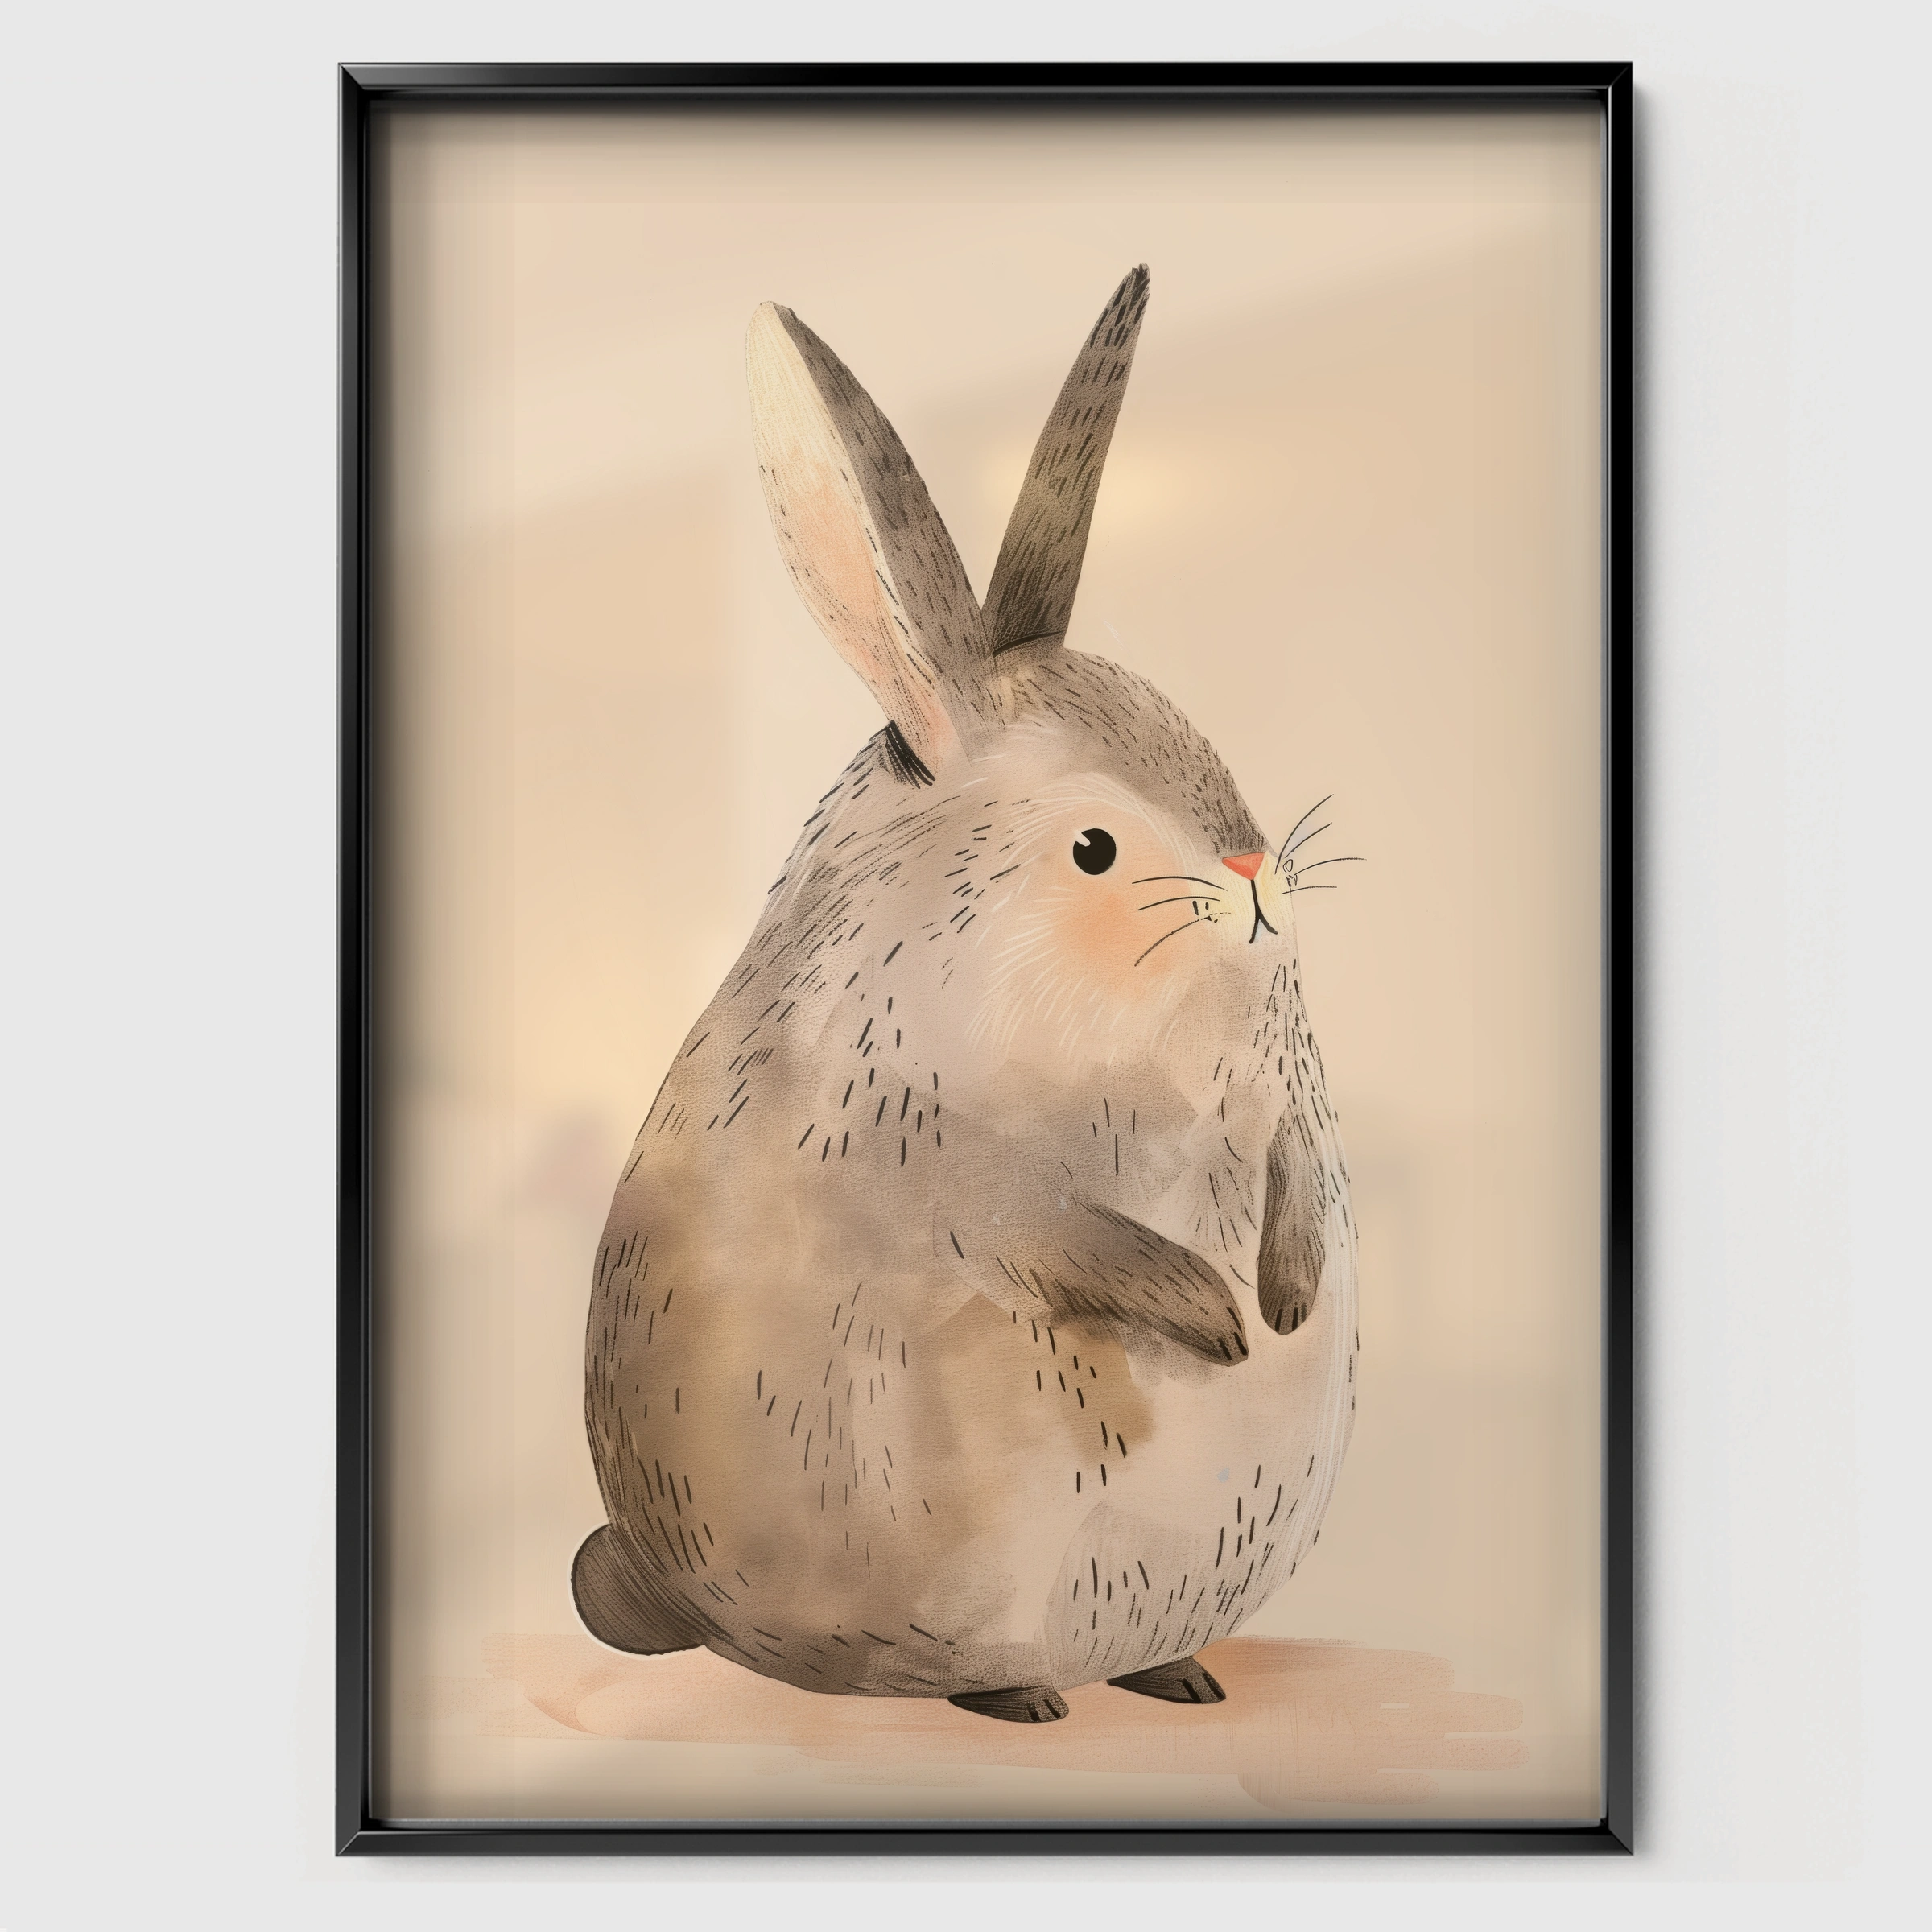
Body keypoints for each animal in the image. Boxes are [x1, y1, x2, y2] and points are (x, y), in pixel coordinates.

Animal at [574, 267, 1357, 1723]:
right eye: (1094, 847)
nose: (1255, 878)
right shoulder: (960, 1174)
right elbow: (1062, 1235)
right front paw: (1220, 1322)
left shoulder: (1283, 1110)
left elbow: (1295, 1183)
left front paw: (1281, 1302)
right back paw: (1023, 1699)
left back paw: (1176, 1677)